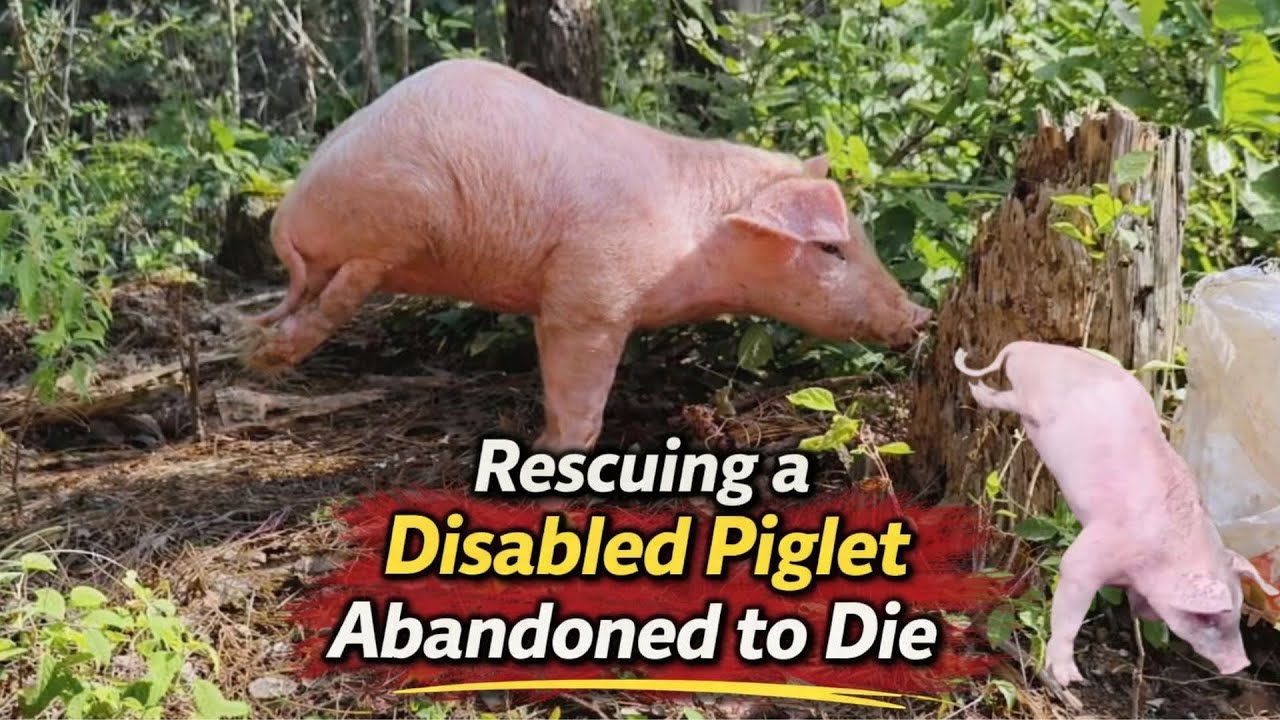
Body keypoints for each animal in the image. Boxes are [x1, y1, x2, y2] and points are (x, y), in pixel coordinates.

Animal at [243, 58, 931, 452]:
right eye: (830, 247)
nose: (920, 315)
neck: (697, 238)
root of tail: (286, 211)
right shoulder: (594, 298)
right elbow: (581, 391)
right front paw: (559, 456)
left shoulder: (556, 302)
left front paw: (539, 441)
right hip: (393, 221)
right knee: (343, 289)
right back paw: (269, 356)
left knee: (309, 293)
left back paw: (260, 350)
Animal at [954, 340, 1279, 687]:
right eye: (1207, 618)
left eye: (1239, 607)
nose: (1241, 664)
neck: (1160, 557)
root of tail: (1027, 348)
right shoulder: (1087, 557)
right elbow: (1070, 602)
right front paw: (1069, 680)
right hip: (1032, 398)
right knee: (1004, 397)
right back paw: (977, 390)